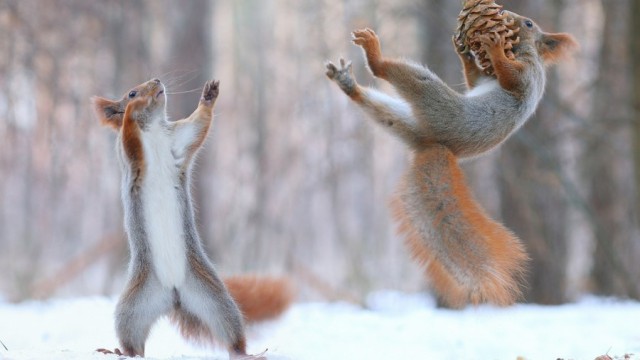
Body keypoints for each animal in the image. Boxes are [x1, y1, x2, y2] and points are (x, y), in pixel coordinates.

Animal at [92, 79, 292, 358]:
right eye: (131, 92)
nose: (157, 81)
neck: (153, 129)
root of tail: (174, 295)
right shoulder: (129, 155)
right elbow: (129, 136)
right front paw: (132, 110)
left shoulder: (179, 140)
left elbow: (199, 125)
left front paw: (209, 96)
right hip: (132, 308)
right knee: (133, 342)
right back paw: (120, 352)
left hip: (214, 299)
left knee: (230, 333)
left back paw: (246, 352)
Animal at [328, 13, 576, 306]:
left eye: (528, 24)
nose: (509, 17)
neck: (520, 51)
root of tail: (436, 145)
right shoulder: (485, 80)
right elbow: (474, 81)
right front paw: (465, 53)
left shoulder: (527, 75)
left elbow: (511, 77)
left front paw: (493, 48)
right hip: (403, 120)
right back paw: (348, 84)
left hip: (435, 100)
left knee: (390, 73)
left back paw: (374, 54)